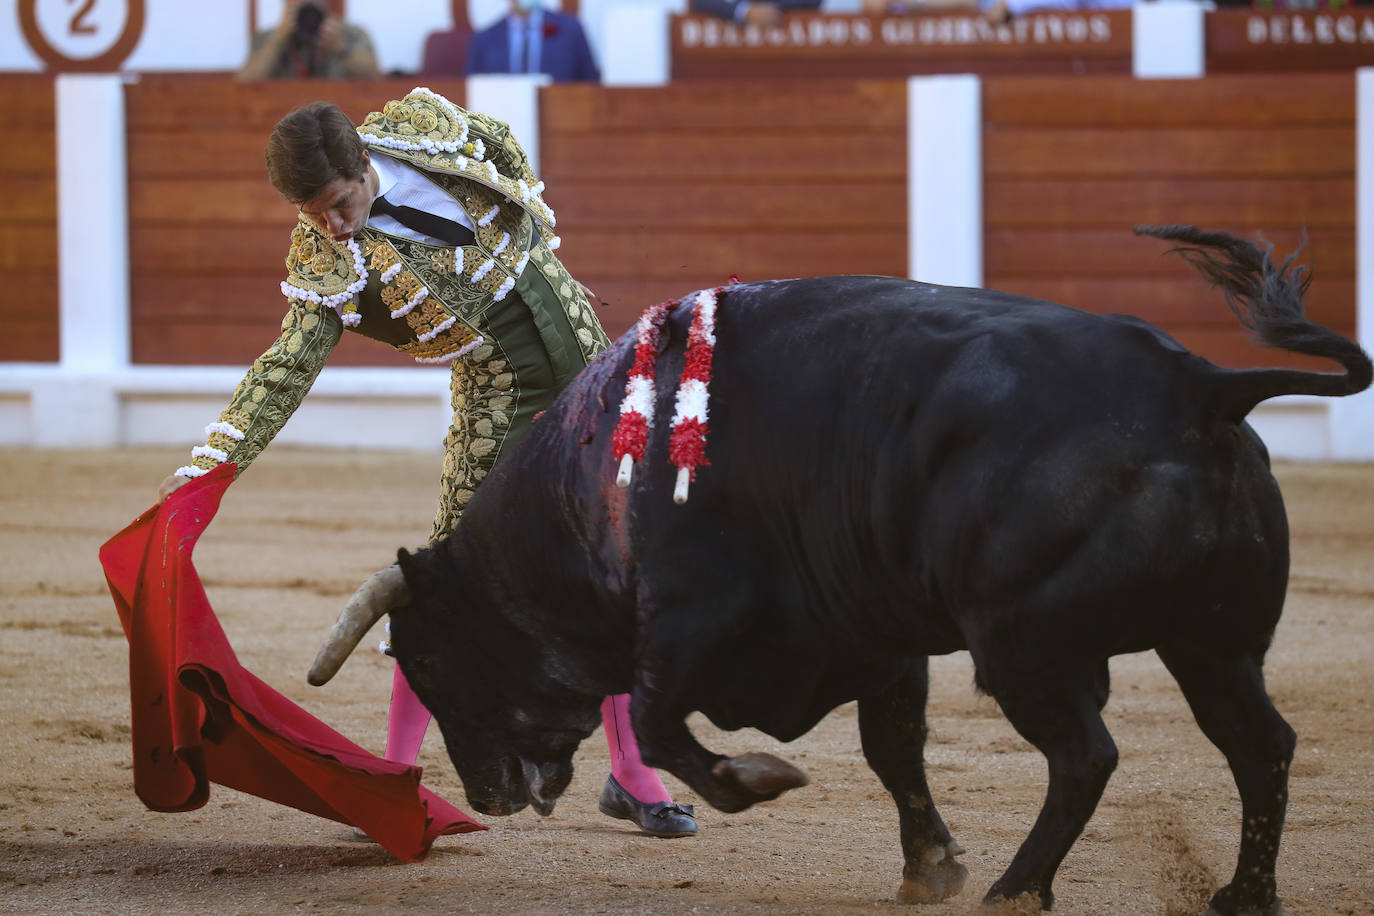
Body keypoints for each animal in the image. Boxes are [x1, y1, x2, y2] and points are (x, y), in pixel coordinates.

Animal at [314, 225, 1374, 911]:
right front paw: (929, 866)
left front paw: (758, 779)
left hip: (1025, 644)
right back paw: (1241, 893)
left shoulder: (687, 628)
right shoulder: (878, 635)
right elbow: (892, 748)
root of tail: (1200, 383)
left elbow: (660, 725)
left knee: (1088, 756)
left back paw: (1017, 890)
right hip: (1214, 642)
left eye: (433, 659)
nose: (486, 795)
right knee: (1261, 746)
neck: (593, 488)